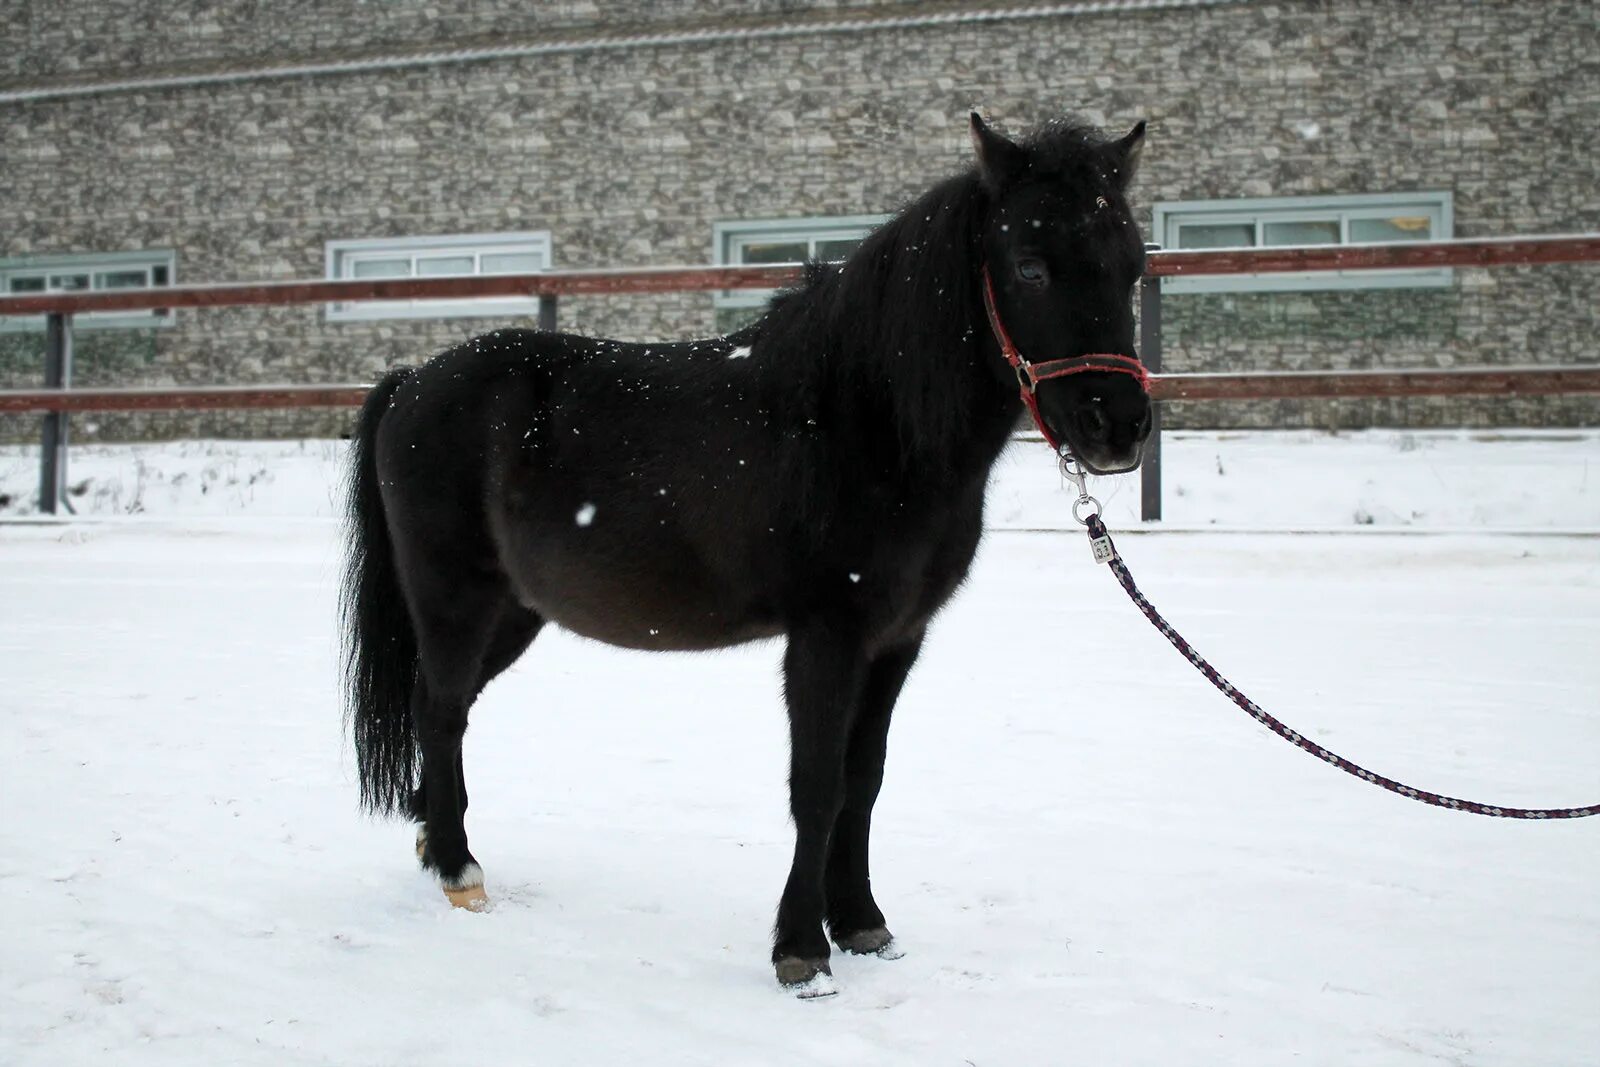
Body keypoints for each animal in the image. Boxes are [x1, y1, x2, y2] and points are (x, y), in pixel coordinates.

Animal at [347, 115, 1152, 991]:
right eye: (1031, 265)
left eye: (1133, 265)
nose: (1118, 427)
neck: (863, 420)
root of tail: (412, 381)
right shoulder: (827, 637)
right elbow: (818, 785)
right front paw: (801, 946)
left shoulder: (896, 639)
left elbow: (864, 780)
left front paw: (862, 922)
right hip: (455, 600)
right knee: (440, 710)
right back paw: (460, 870)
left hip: (514, 614)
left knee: (442, 712)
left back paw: (434, 844)